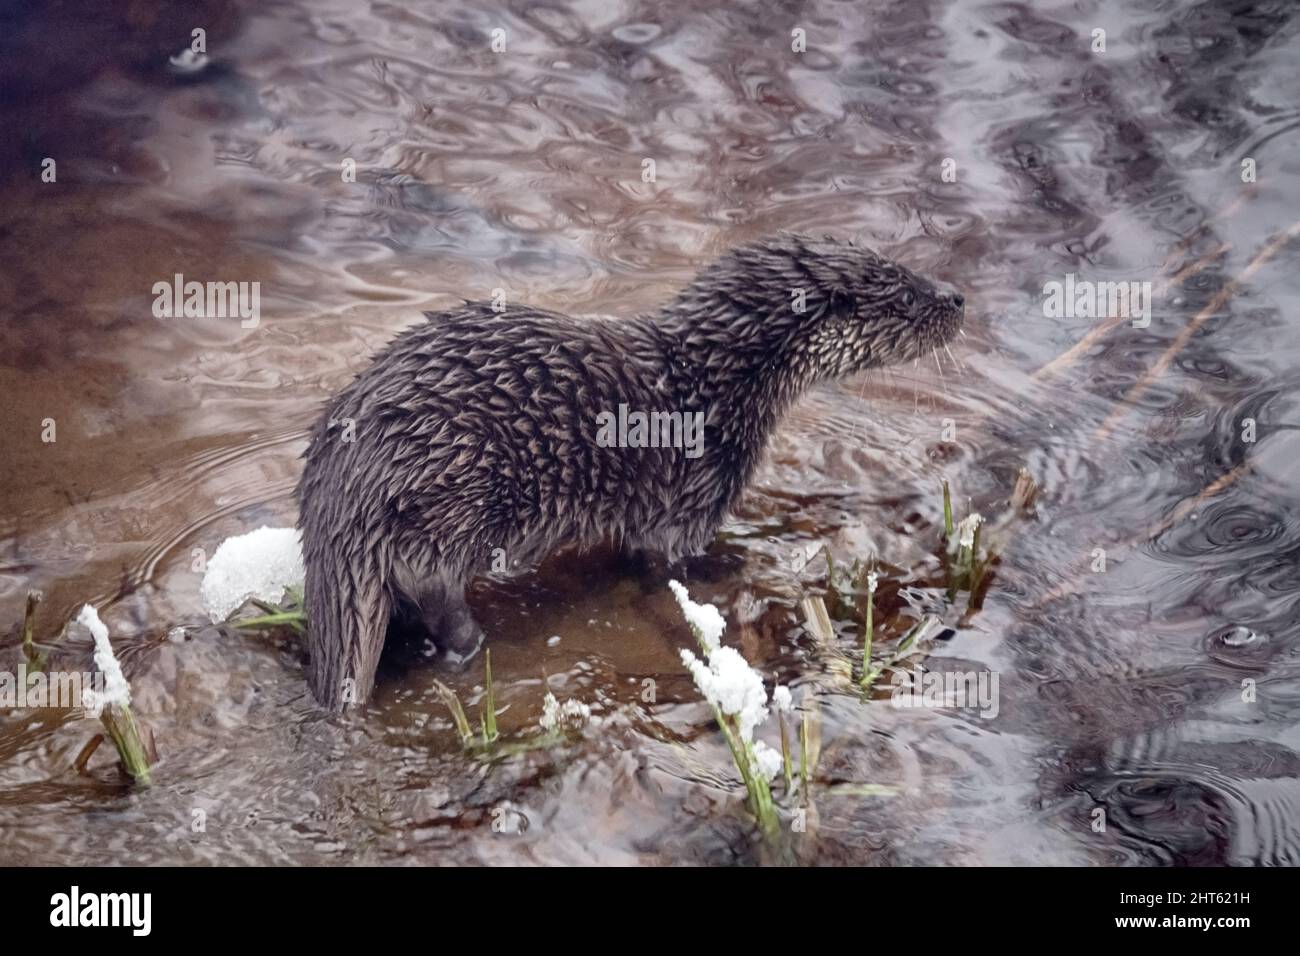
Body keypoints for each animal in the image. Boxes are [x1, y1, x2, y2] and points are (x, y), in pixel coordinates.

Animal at [297, 235, 964, 710]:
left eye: (910, 267)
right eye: (908, 294)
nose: (957, 298)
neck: (719, 388)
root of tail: (340, 494)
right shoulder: (693, 496)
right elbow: (665, 561)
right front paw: (731, 569)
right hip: (450, 498)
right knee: (435, 595)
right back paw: (475, 643)